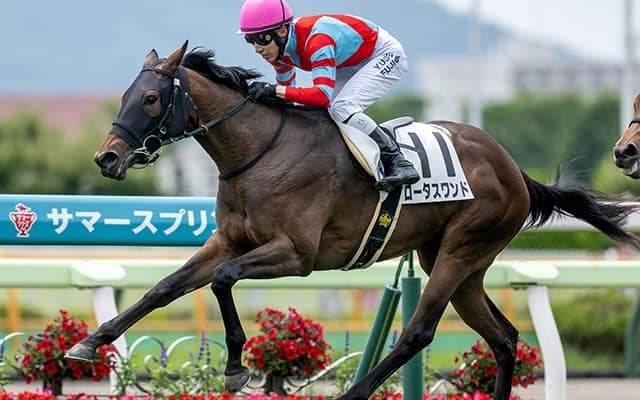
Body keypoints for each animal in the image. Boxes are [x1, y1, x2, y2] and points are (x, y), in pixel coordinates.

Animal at [67, 41, 639, 400]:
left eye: (150, 98)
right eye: (126, 95)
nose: (106, 158)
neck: (258, 152)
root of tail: (514, 169)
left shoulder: (295, 255)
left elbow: (225, 281)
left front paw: (234, 368)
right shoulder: (228, 240)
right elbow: (165, 287)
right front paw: (91, 342)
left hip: (461, 251)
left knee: (418, 332)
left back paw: (356, 392)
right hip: (456, 260)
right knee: (502, 336)